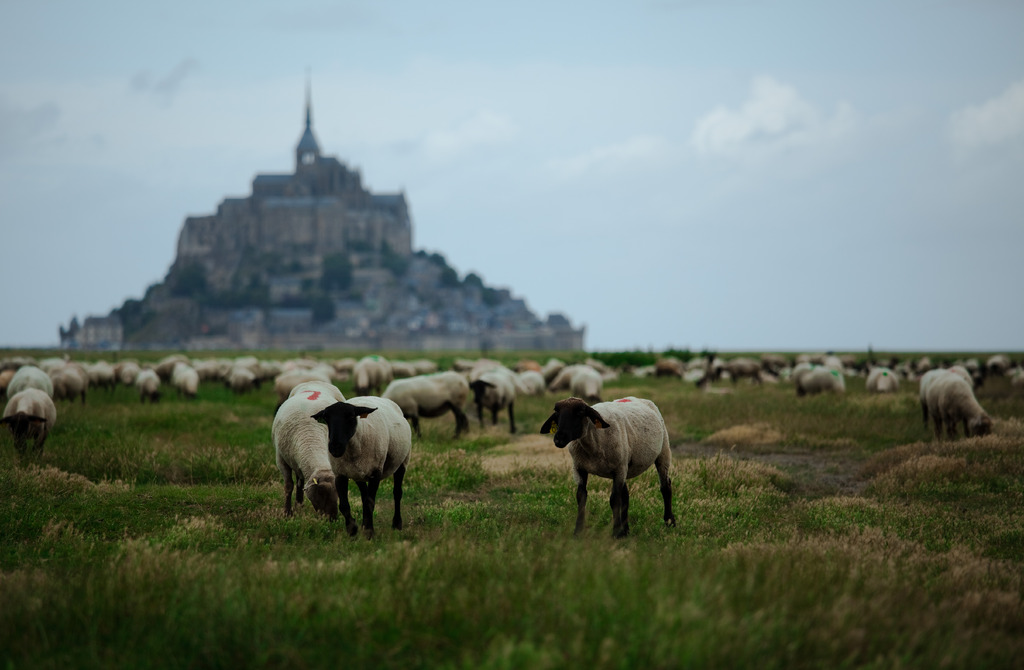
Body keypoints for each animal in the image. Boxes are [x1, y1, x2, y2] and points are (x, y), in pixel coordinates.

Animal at [270, 385, 342, 522]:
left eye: (338, 492)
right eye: (320, 492)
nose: (332, 518)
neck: (311, 436)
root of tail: (315, 382)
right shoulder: (281, 460)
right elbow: (288, 486)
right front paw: (287, 513)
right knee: (299, 480)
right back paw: (298, 505)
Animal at [307, 399, 411, 540]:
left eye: (351, 416)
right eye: (326, 418)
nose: (335, 447)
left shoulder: (375, 473)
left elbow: (370, 503)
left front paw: (369, 532)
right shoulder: (340, 474)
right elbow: (344, 505)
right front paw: (352, 530)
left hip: (403, 461)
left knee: (397, 493)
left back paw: (396, 524)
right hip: (358, 474)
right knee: (364, 495)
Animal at [540, 395, 675, 536]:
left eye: (580, 412)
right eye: (556, 412)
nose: (559, 438)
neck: (592, 442)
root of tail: (636, 397)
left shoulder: (618, 469)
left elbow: (614, 499)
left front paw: (616, 532)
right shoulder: (579, 468)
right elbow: (581, 497)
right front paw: (578, 531)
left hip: (663, 451)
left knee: (665, 487)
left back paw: (669, 521)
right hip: (625, 465)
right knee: (625, 496)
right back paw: (626, 529)